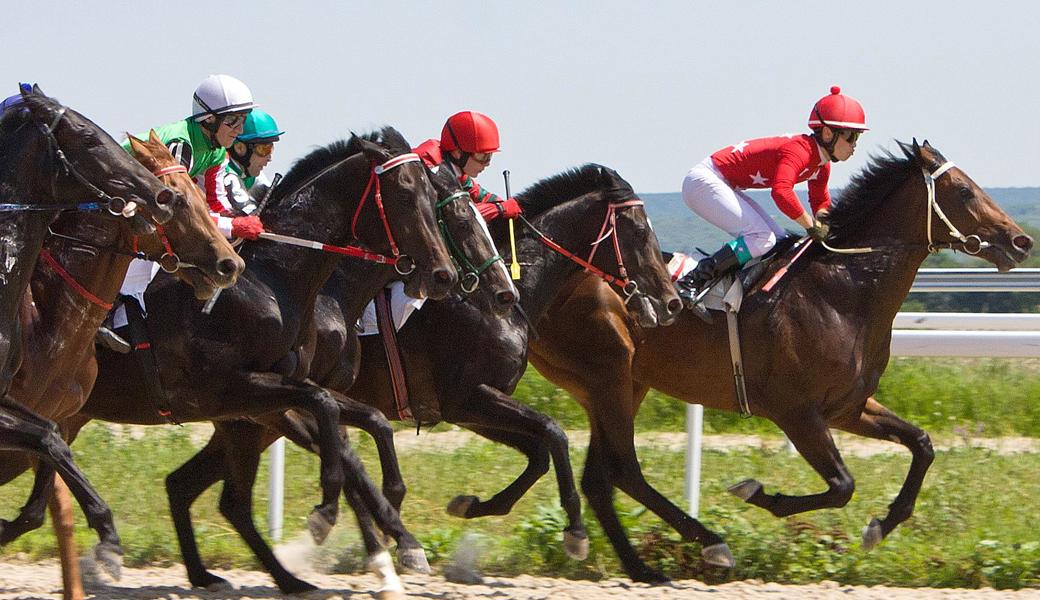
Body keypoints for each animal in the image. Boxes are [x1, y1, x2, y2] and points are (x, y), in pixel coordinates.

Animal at [60, 129, 457, 594]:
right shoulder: (231, 391)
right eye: (405, 194)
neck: (271, 282)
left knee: (204, 493)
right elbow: (336, 431)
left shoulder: (269, 402)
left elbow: (368, 422)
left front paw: (396, 530)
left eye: (433, 196)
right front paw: (336, 519)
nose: (445, 275)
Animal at [528, 140, 1031, 582]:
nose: (1021, 241)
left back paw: (639, 566)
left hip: (621, 385)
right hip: (609, 376)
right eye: (964, 191)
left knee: (601, 480)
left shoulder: (848, 408)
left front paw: (879, 526)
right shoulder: (797, 413)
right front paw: (756, 492)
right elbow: (842, 485)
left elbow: (922, 445)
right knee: (624, 472)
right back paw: (709, 544)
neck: (843, 289)